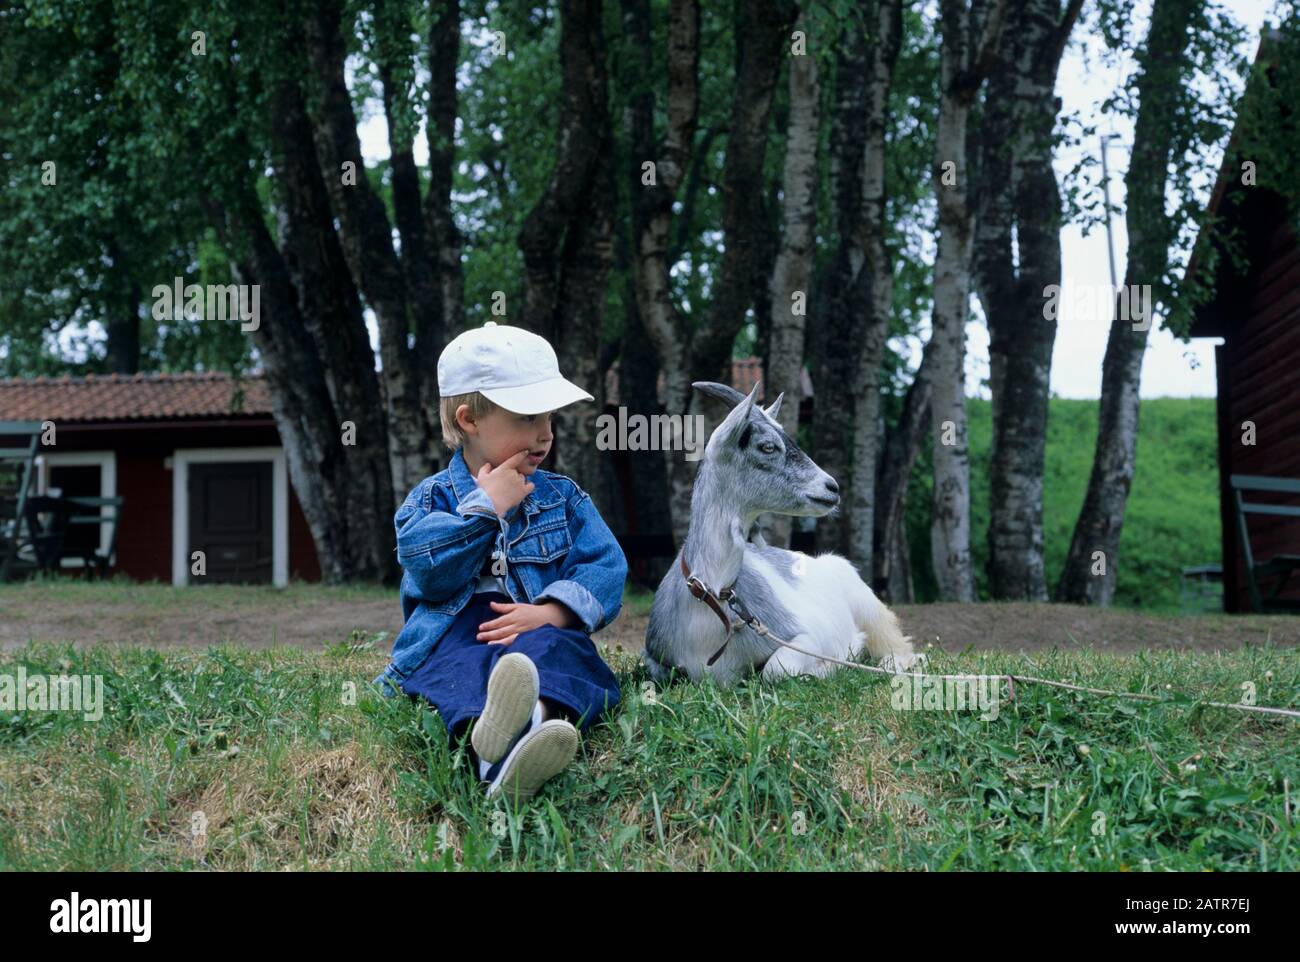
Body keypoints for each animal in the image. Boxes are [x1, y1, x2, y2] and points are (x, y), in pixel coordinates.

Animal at [644, 379, 920, 686]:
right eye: (767, 446)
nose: (832, 487)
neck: (711, 597)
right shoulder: (654, 658)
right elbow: (658, 673)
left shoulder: (805, 636)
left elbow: (775, 669)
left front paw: (829, 667)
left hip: (868, 604)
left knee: (900, 646)